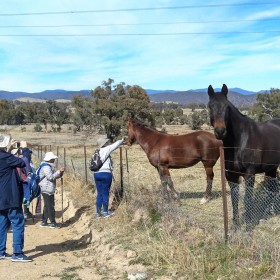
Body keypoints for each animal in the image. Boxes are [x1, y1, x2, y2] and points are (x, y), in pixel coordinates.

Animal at [208, 84, 280, 231]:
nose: (220, 131)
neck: (240, 141)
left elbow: (247, 199)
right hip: (271, 168)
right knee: (272, 188)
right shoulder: (231, 176)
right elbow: (234, 199)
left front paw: (248, 227)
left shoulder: (249, 174)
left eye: (227, 106)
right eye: (210, 106)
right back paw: (268, 212)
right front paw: (236, 226)